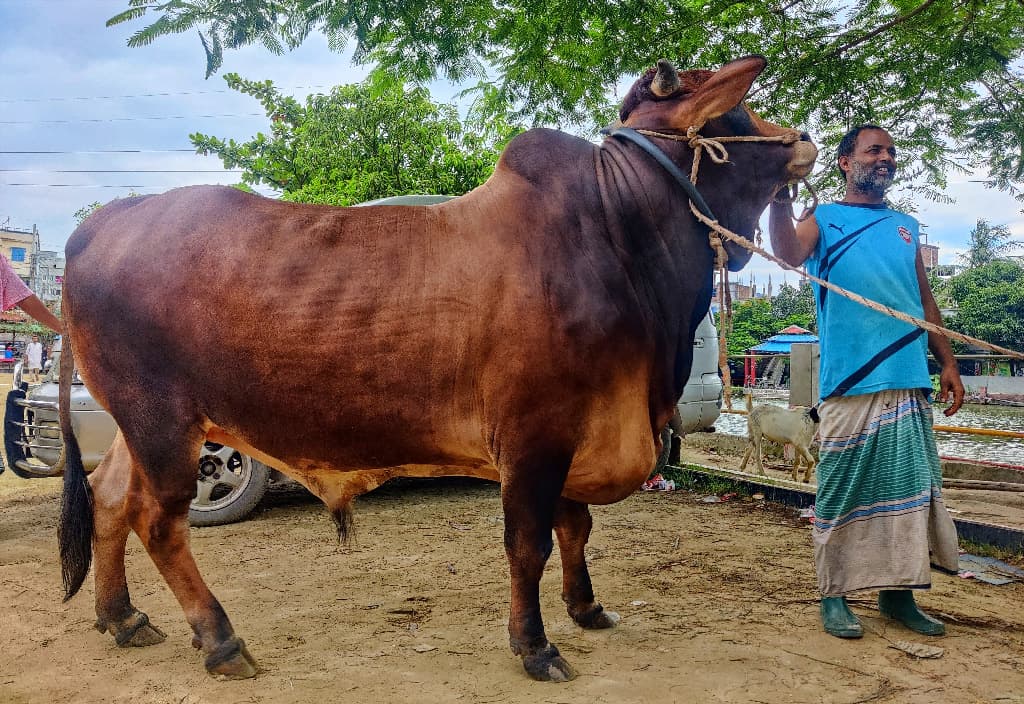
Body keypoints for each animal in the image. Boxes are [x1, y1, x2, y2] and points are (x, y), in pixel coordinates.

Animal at [61, 57, 815, 683]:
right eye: (736, 117)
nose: (805, 139)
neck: (616, 233)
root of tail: (101, 225)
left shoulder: (572, 430)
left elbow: (575, 528)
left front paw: (587, 608)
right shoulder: (534, 436)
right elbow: (528, 544)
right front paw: (535, 645)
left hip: (143, 424)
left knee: (108, 496)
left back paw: (123, 617)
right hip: (163, 423)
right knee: (160, 522)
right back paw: (220, 641)